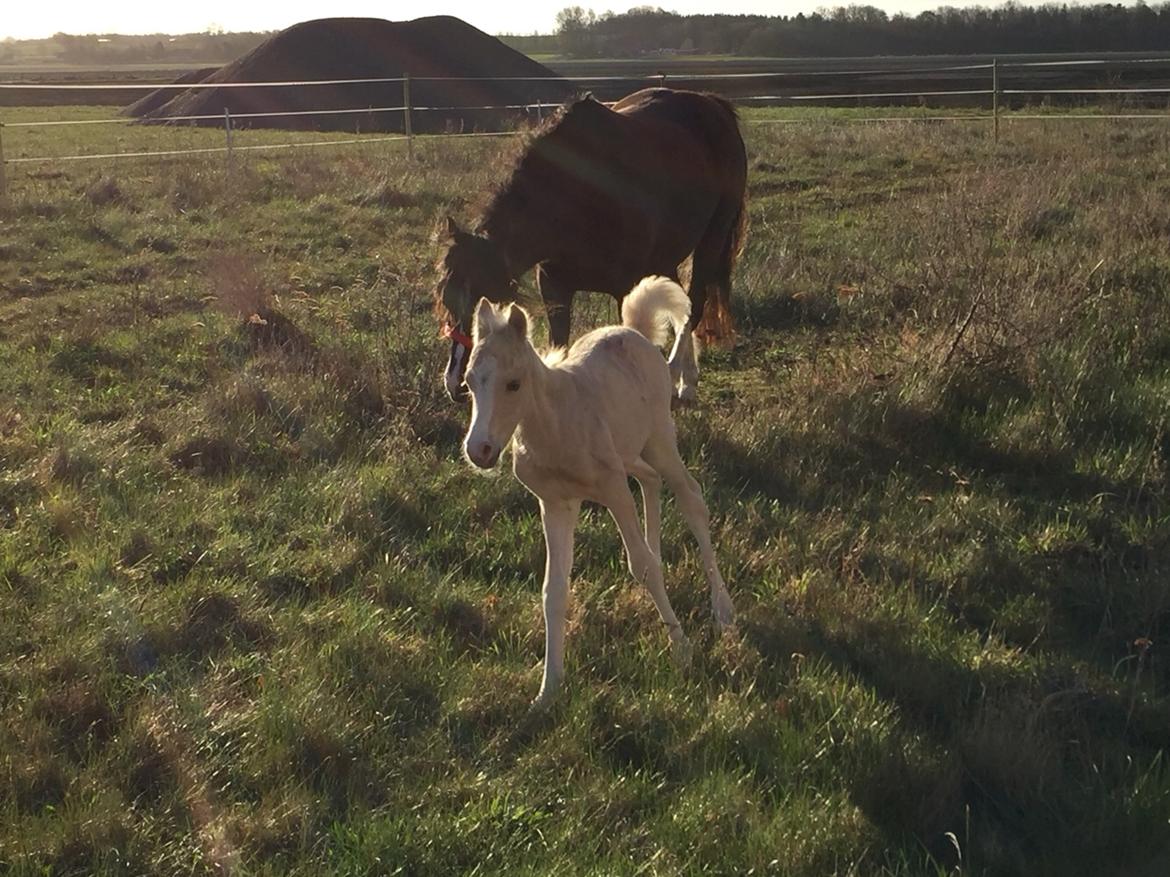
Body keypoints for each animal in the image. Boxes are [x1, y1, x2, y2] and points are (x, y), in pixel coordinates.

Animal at [436, 87, 748, 404]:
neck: (578, 195)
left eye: (487, 300)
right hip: (664, 260)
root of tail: (711, 102)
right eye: (447, 300)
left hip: (712, 239)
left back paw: (683, 381)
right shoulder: (554, 289)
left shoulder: (626, 289)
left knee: (694, 305)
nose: (457, 384)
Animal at [461, 276, 735, 707]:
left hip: (659, 438)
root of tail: (635, 331)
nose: (479, 450)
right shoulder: (555, 503)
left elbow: (641, 565)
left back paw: (723, 610)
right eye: (470, 382)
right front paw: (549, 688)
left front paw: (681, 649)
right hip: (630, 453)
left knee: (690, 498)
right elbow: (553, 590)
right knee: (650, 480)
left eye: (513, 383)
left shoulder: (612, 489)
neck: (555, 423)